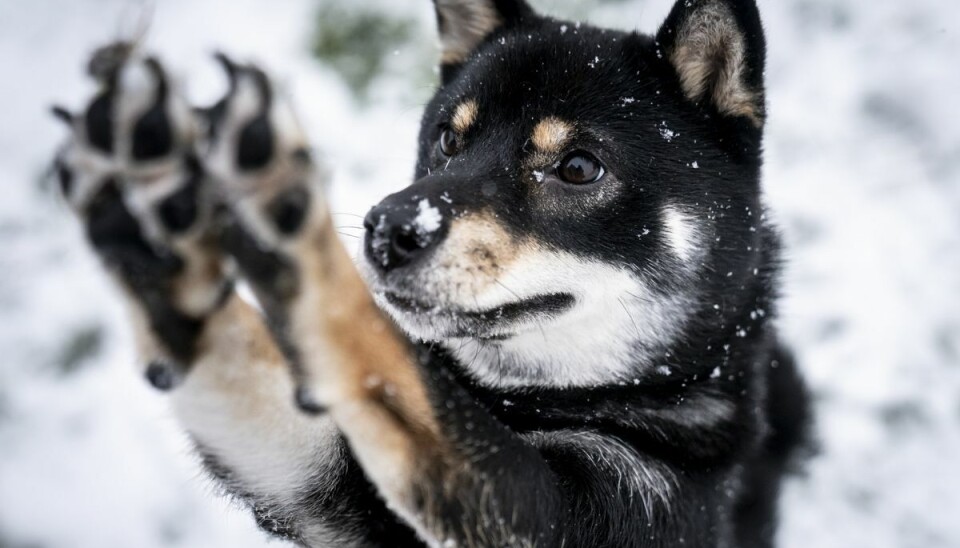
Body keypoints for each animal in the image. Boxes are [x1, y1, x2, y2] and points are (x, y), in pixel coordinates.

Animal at [50, 1, 808, 548]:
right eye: (448, 137)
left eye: (578, 166)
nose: (389, 228)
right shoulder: (312, 474)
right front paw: (156, 209)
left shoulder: (585, 510)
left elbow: (383, 359)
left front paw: (287, 217)